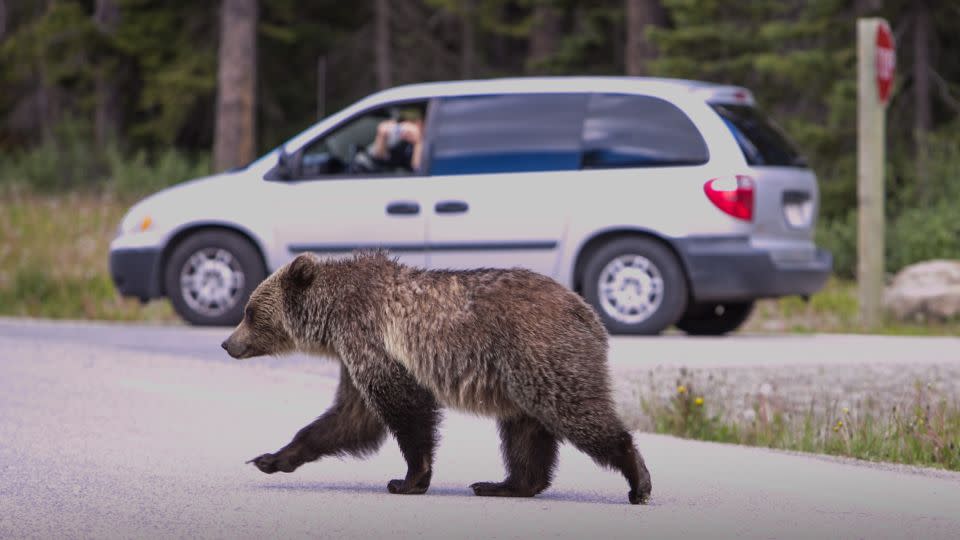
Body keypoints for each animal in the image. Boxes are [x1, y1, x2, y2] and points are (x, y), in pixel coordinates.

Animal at [220, 251, 652, 504]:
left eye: (249, 312)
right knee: (524, 433)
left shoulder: (373, 341)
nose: (227, 343)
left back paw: (638, 481)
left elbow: (404, 410)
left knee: (576, 412)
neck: (331, 318)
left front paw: (408, 479)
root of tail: (587, 312)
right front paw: (270, 458)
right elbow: (348, 419)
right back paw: (503, 485)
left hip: (540, 355)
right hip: (520, 378)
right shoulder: (355, 354)